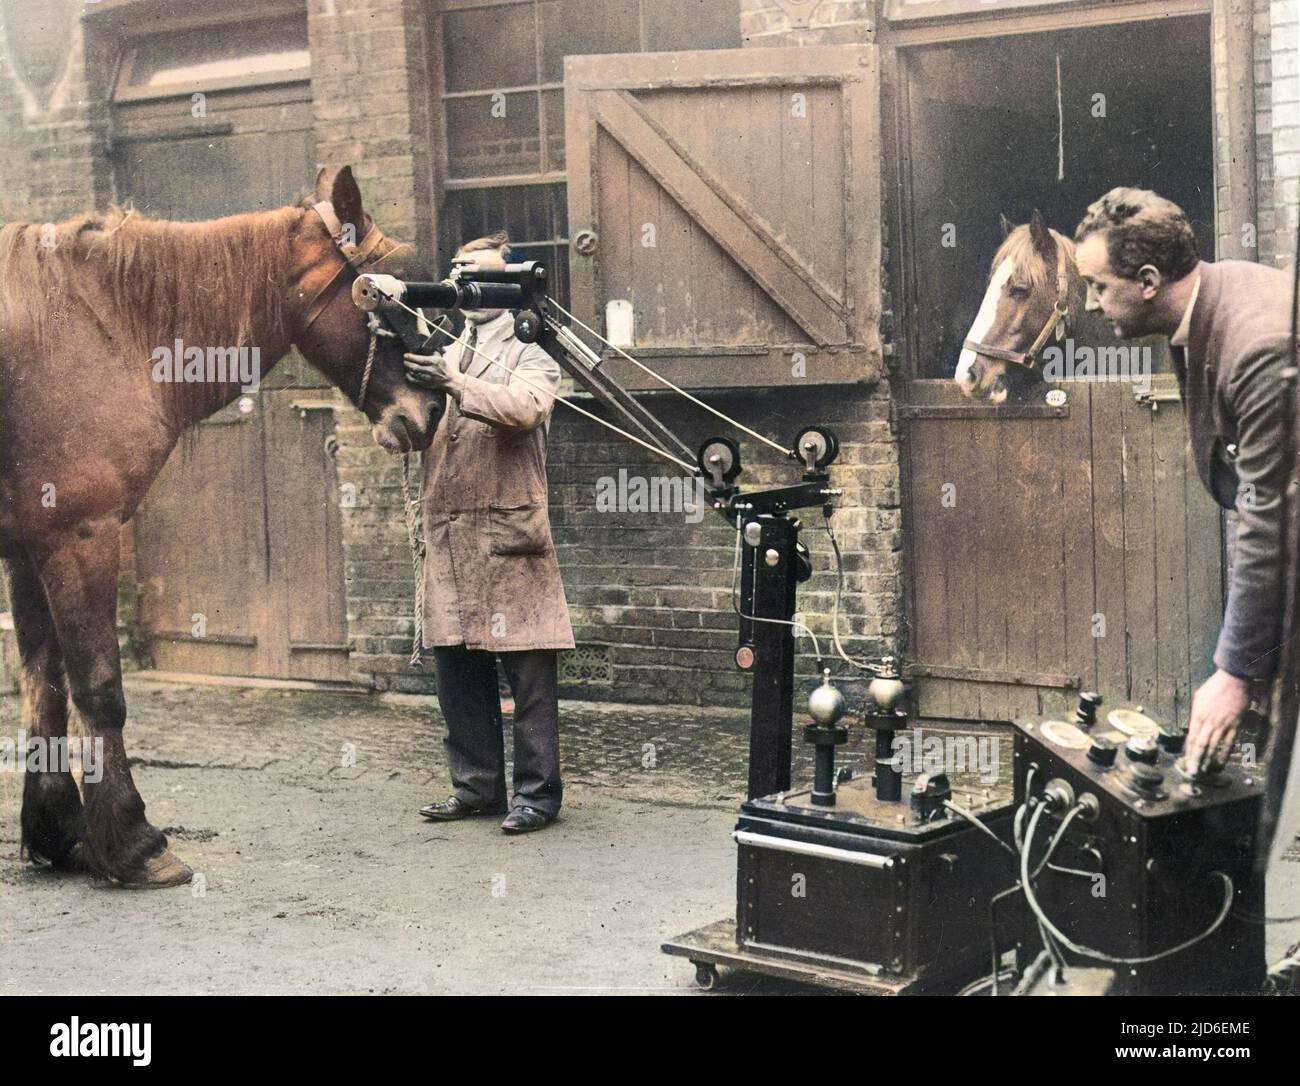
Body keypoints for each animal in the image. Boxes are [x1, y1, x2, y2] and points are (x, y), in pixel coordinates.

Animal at [0, 166, 443, 887]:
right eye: (386, 295)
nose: (430, 412)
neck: (97, 322)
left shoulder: (29, 545)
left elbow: (45, 680)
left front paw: (58, 829)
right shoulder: (80, 537)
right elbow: (98, 688)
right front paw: (132, 842)